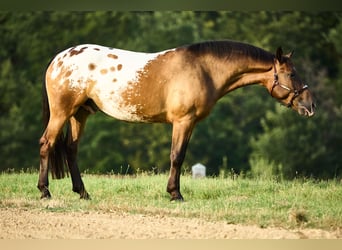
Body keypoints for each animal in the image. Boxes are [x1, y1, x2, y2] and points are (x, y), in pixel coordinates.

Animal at [37, 40, 316, 201]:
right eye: (292, 74)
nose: (310, 105)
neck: (203, 69)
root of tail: (57, 60)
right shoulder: (183, 121)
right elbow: (177, 156)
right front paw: (175, 194)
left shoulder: (189, 124)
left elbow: (180, 156)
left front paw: (174, 192)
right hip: (62, 112)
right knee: (46, 144)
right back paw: (45, 191)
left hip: (79, 114)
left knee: (71, 150)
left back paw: (83, 193)